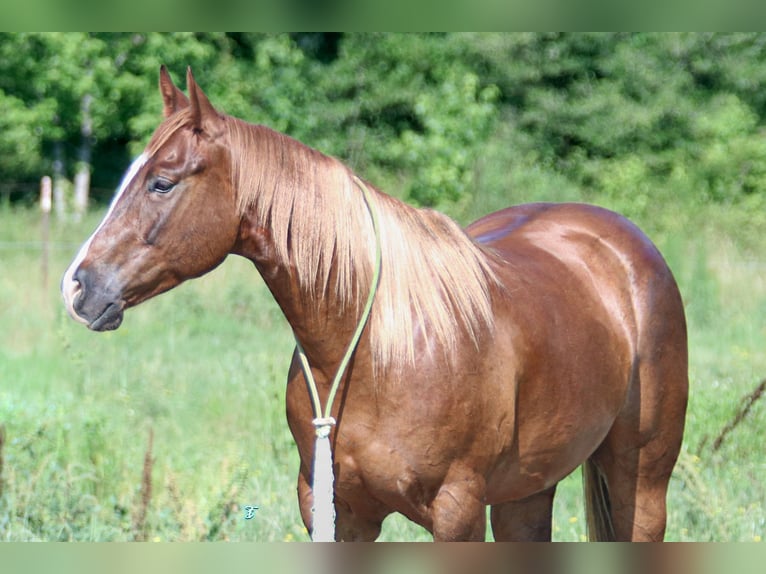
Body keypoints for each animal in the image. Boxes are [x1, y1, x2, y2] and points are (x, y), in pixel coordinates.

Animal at [61, 68, 688, 544]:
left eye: (162, 183)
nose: (78, 287)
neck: (382, 351)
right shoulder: (337, 512)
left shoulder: (457, 512)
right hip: (527, 491)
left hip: (641, 481)